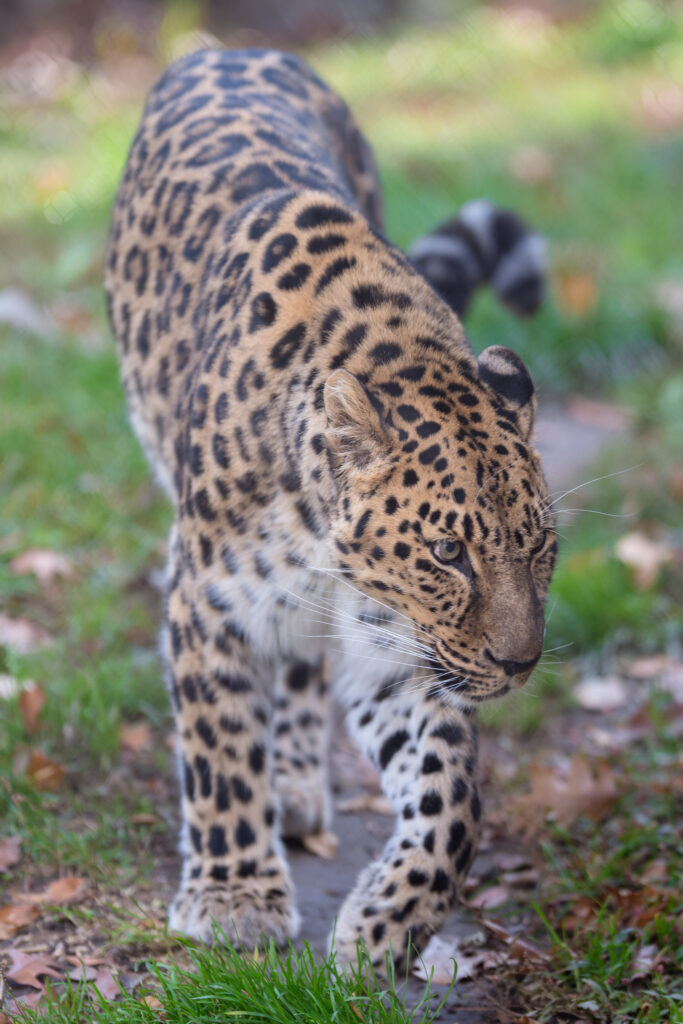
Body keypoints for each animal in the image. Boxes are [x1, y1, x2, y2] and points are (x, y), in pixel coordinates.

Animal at [104, 46, 557, 971]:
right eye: (448, 553)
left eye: (539, 547)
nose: (519, 664)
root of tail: (229, 47)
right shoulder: (206, 598)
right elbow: (218, 747)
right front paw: (234, 898)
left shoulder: (395, 646)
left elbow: (451, 791)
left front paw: (391, 920)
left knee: (302, 670)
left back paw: (295, 780)